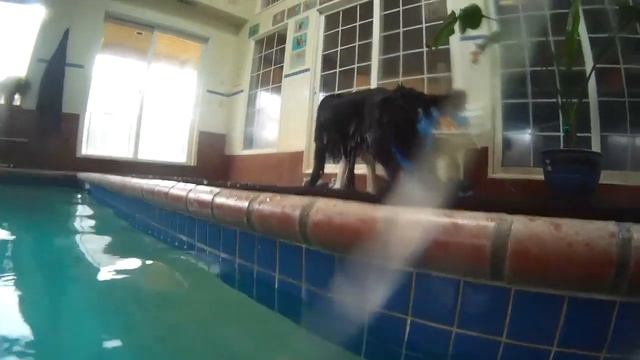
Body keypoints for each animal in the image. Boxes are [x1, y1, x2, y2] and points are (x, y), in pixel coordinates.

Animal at [304, 85, 464, 194]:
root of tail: (396, 94)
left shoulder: (322, 142)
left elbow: (319, 168)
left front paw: (310, 185)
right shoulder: (353, 147)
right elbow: (350, 170)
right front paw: (349, 188)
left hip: (380, 144)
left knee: (396, 170)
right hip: (405, 141)